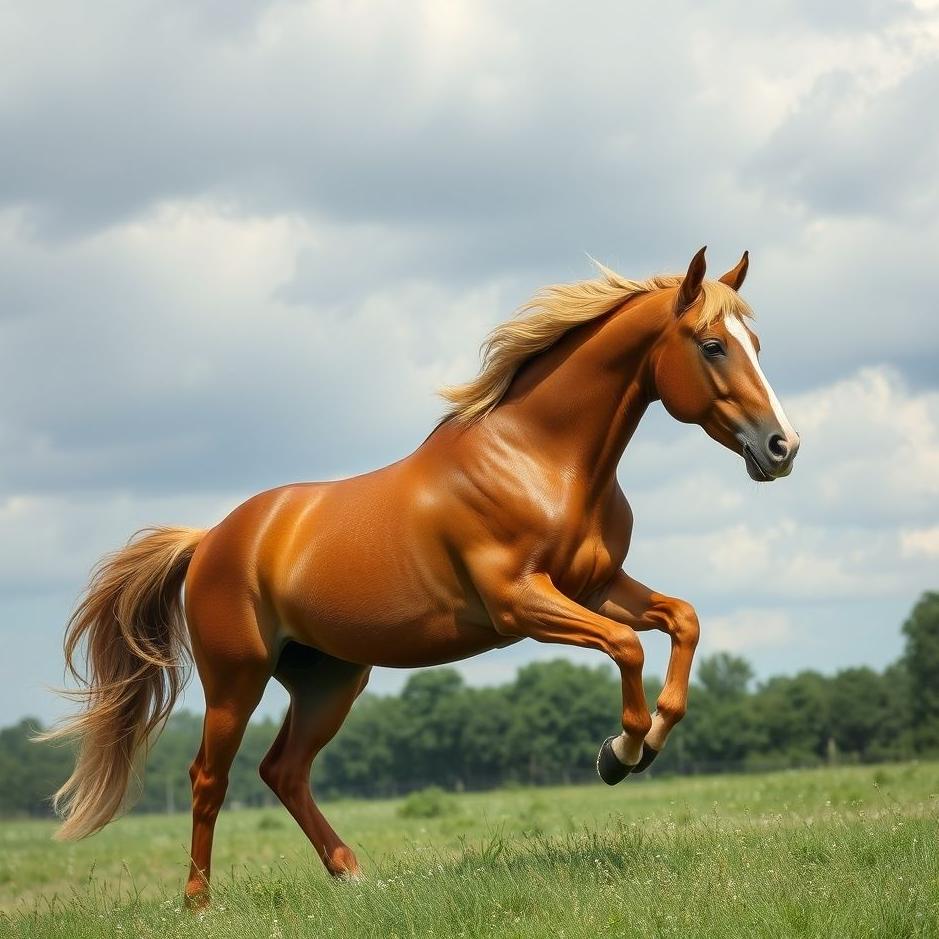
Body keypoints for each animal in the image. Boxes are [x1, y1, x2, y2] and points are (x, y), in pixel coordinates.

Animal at [43, 246, 799, 905]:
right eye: (712, 344)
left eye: (756, 342)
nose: (781, 447)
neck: (537, 459)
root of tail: (210, 540)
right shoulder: (522, 604)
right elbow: (627, 645)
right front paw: (619, 752)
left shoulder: (596, 585)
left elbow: (681, 619)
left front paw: (648, 739)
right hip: (236, 678)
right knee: (210, 776)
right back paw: (199, 902)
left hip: (329, 679)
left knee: (283, 770)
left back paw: (350, 875)